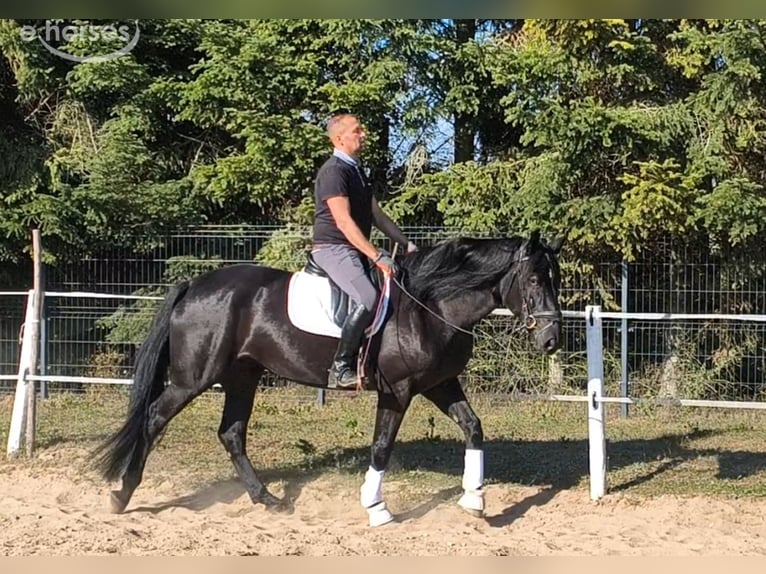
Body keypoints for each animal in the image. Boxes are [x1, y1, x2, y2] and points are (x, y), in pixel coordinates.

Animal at [93, 229, 564, 527]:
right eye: (534, 279)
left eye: (555, 279)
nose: (551, 340)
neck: (430, 306)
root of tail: (194, 286)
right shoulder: (398, 391)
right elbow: (381, 447)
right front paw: (376, 509)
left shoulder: (438, 385)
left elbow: (473, 427)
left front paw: (475, 501)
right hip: (194, 378)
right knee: (154, 419)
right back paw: (121, 495)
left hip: (242, 375)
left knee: (231, 433)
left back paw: (268, 500)